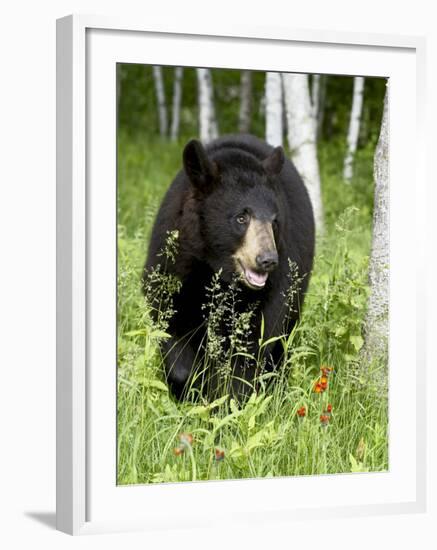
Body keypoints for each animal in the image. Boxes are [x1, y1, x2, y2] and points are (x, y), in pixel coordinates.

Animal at [143, 134, 314, 402]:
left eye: (274, 222)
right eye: (241, 218)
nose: (268, 260)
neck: (215, 269)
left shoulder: (274, 288)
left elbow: (251, 348)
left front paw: (227, 400)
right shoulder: (174, 265)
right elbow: (170, 321)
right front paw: (189, 388)